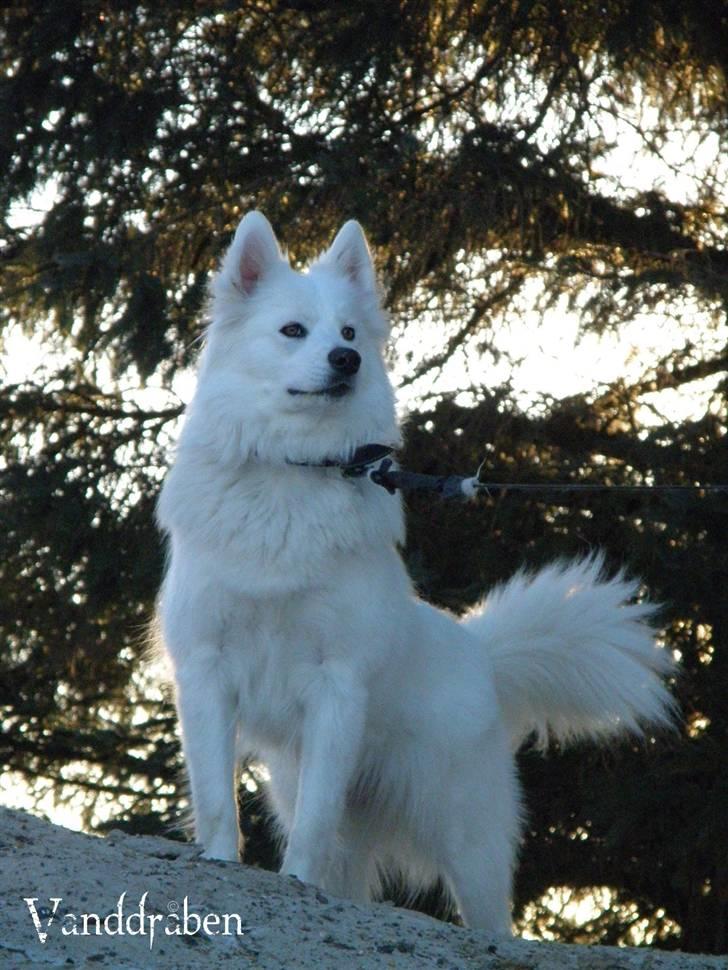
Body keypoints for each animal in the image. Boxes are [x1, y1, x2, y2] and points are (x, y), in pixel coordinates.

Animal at [155, 210, 676, 932]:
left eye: (349, 333)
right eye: (293, 331)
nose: (345, 360)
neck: (292, 470)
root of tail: (482, 655)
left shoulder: (337, 686)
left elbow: (312, 821)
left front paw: (292, 881)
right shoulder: (206, 667)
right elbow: (213, 795)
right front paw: (219, 862)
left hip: (467, 837)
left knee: (488, 915)